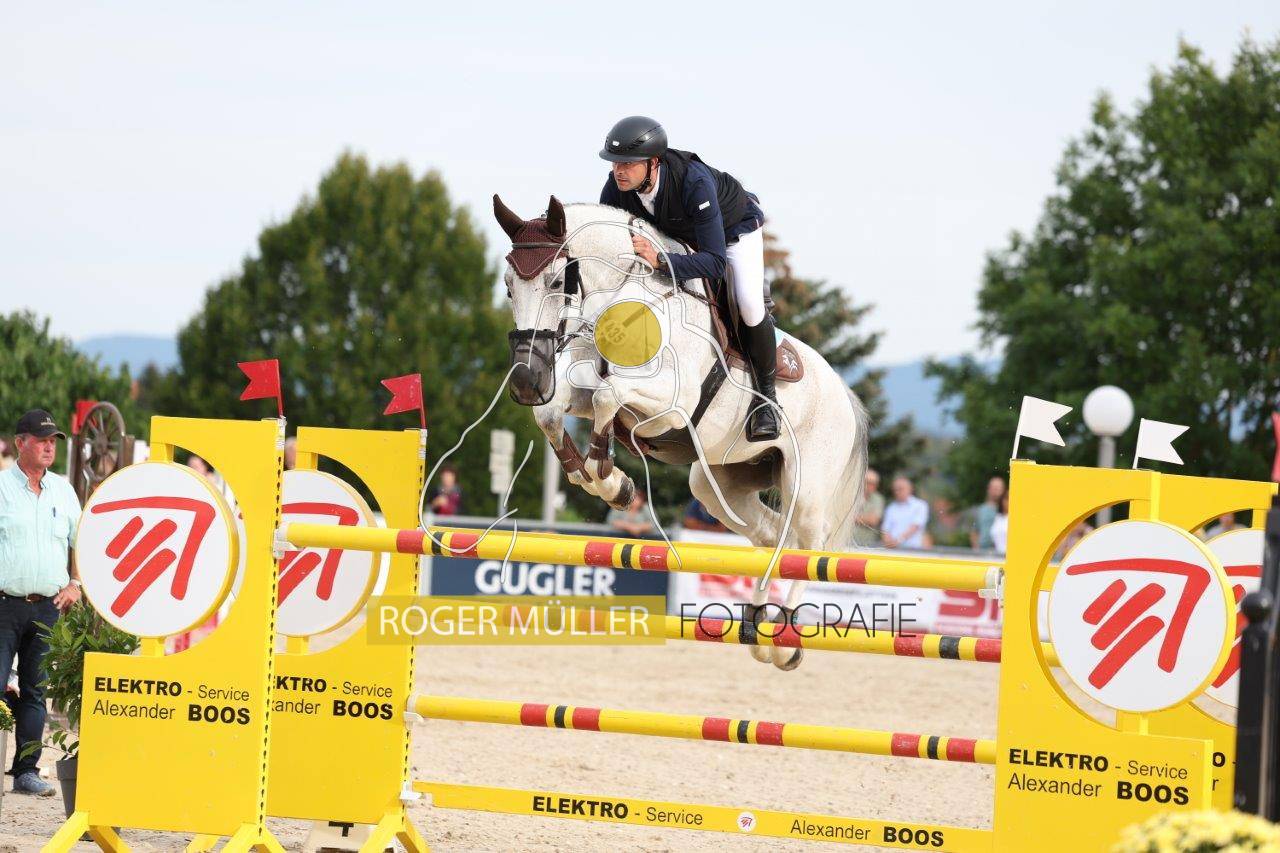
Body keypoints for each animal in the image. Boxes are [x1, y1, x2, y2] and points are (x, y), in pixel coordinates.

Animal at [494, 194, 869, 670]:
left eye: (559, 280)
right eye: (509, 285)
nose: (527, 380)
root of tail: (844, 393)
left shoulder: (669, 406)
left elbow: (608, 397)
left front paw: (605, 473)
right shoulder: (583, 389)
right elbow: (555, 413)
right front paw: (608, 481)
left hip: (808, 487)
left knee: (809, 546)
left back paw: (784, 639)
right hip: (720, 486)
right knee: (771, 537)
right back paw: (757, 625)